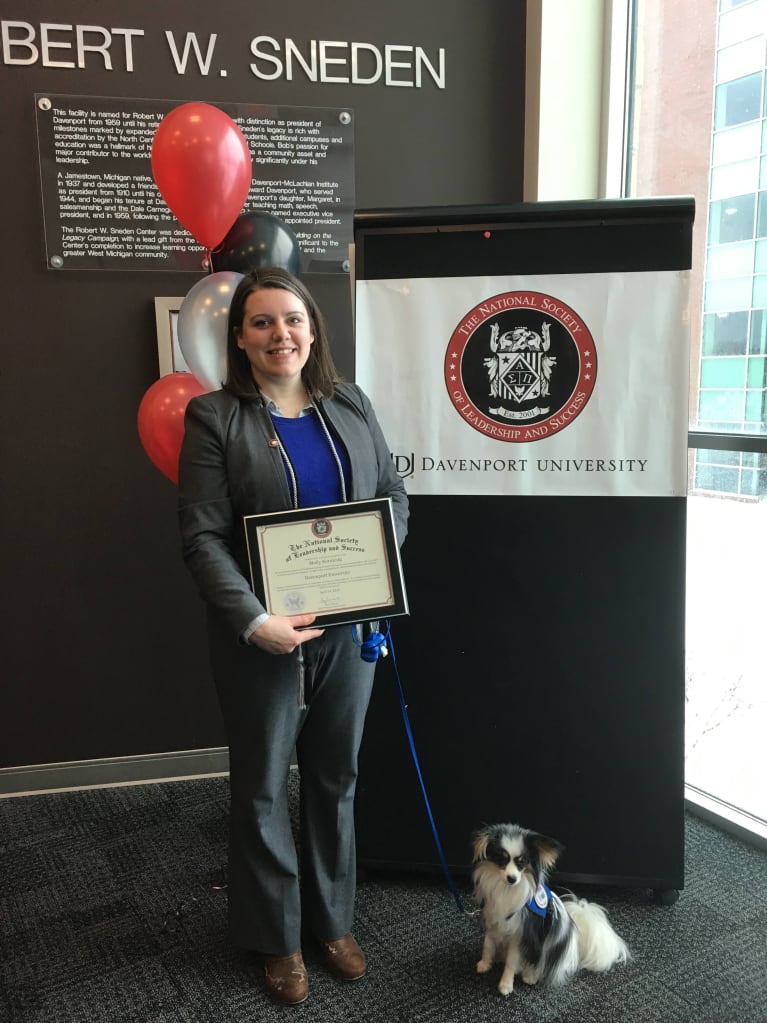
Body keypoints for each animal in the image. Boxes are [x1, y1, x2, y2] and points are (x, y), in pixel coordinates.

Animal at [474, 822, 629, 998]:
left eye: (522, 862)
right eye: (501, 859)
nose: (512, 879)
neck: (506, 890)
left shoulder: (520, 935)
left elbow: (511, 962)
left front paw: (506, 985)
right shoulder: (494, 921)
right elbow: (488, 945)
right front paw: (484, 964)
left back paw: (529, 975)